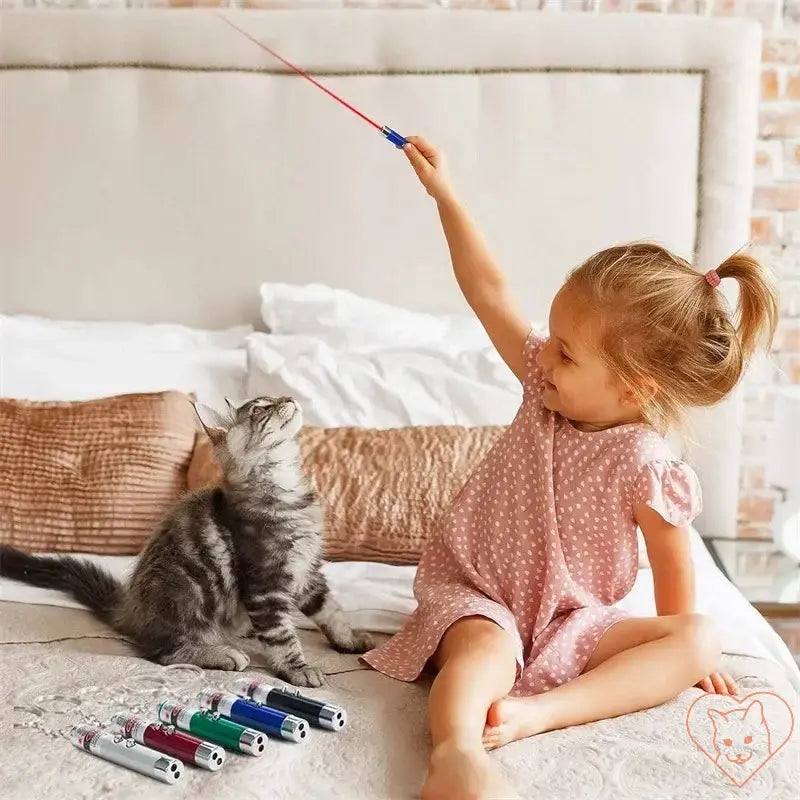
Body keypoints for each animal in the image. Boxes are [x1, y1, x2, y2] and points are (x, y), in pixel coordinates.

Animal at [0, 394, 376, 688]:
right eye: (259, 409)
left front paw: (350, 640)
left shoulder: (307, 574)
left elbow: (331, 611)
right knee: (164, 652)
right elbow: (283, 636)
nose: (290, 398)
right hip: (186, 592)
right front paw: (298, 669)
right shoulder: (265, 584)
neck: (287, 490)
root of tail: (131, 609)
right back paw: (222, 654)